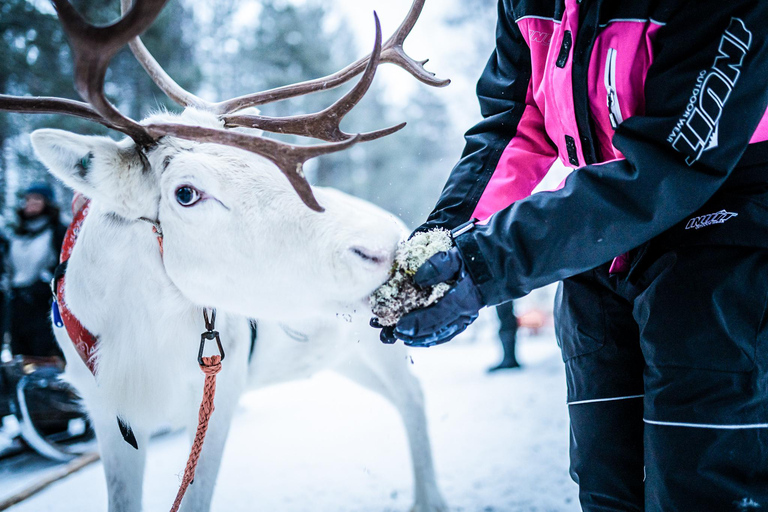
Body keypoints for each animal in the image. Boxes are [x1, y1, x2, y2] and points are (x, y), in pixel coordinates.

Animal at [0, 1, 451, 511]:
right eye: (186, 193)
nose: (382, 245)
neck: (134, 340)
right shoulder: (109, 415)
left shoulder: (219, 396)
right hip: (345, 355)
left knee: (413, 396)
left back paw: (431, 498)